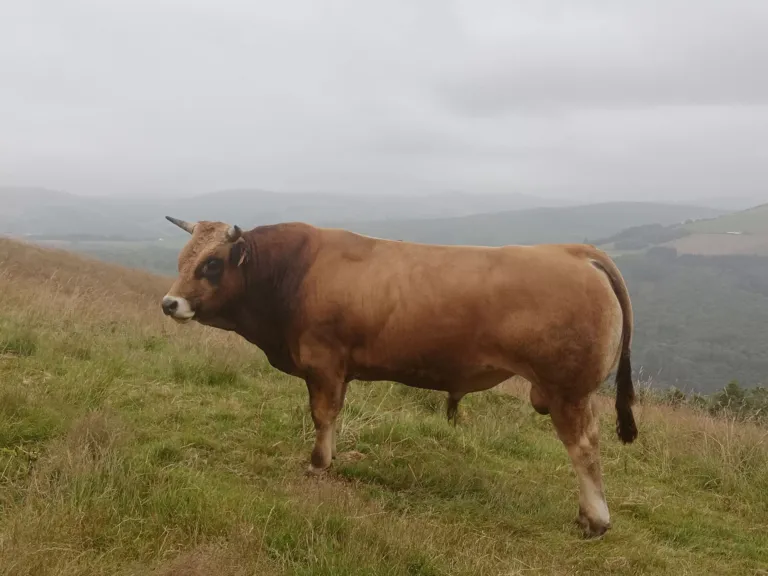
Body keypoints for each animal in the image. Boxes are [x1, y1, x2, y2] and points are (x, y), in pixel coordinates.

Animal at [160, 214, 636, 536]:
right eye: (183, 258)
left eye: (212, 264)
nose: (169, 303)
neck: (293, 272)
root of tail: (573, 251)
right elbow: (333, 416)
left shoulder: (323, 363)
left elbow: (322, 415)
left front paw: (317, 464)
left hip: (567, 391)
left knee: (584, 447)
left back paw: (594, 519)